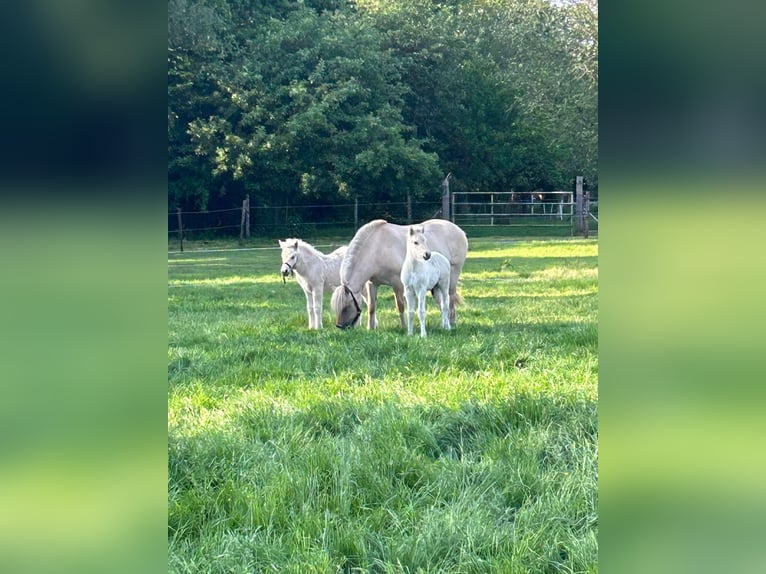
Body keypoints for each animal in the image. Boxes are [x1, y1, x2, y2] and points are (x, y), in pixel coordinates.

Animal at [332, 218, 472, 330]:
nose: (339, 326)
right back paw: (444, 323)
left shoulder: (397, 283)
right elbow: (372, 306)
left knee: (450, 298)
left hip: (452, 277)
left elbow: (400, 306)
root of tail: (460, 231)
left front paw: (404, 327)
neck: (376, 249)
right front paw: (370, 328)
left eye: (346, 306)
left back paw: (452, 322)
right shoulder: (372, 283)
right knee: (441, 302)